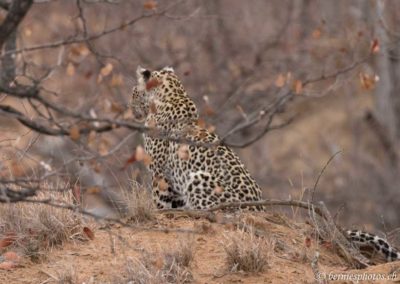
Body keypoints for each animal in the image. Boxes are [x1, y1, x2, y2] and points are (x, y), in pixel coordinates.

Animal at [130, 65, 398, 262]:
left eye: (134, 92)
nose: (131, 109)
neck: (172, 96)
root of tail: (262, 209)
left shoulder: (160, 176)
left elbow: (161, 205)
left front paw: (161, 214)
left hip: (199, 179)